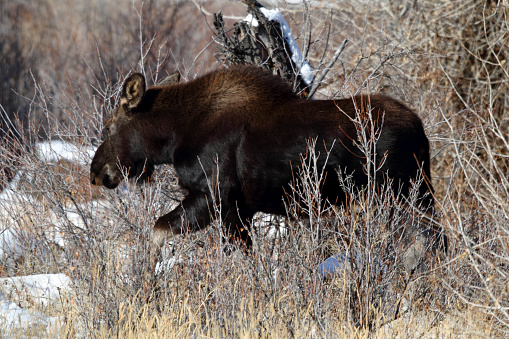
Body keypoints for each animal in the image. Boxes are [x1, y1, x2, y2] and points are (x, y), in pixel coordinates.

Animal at [89, 65, 438, 254]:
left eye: (108, 127)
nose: (96, 172)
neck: (173, 137)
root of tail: (421, 130)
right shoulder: (241, 209)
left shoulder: (214, 196)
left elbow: (157, 231)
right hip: (417, 192)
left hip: (400, 193)